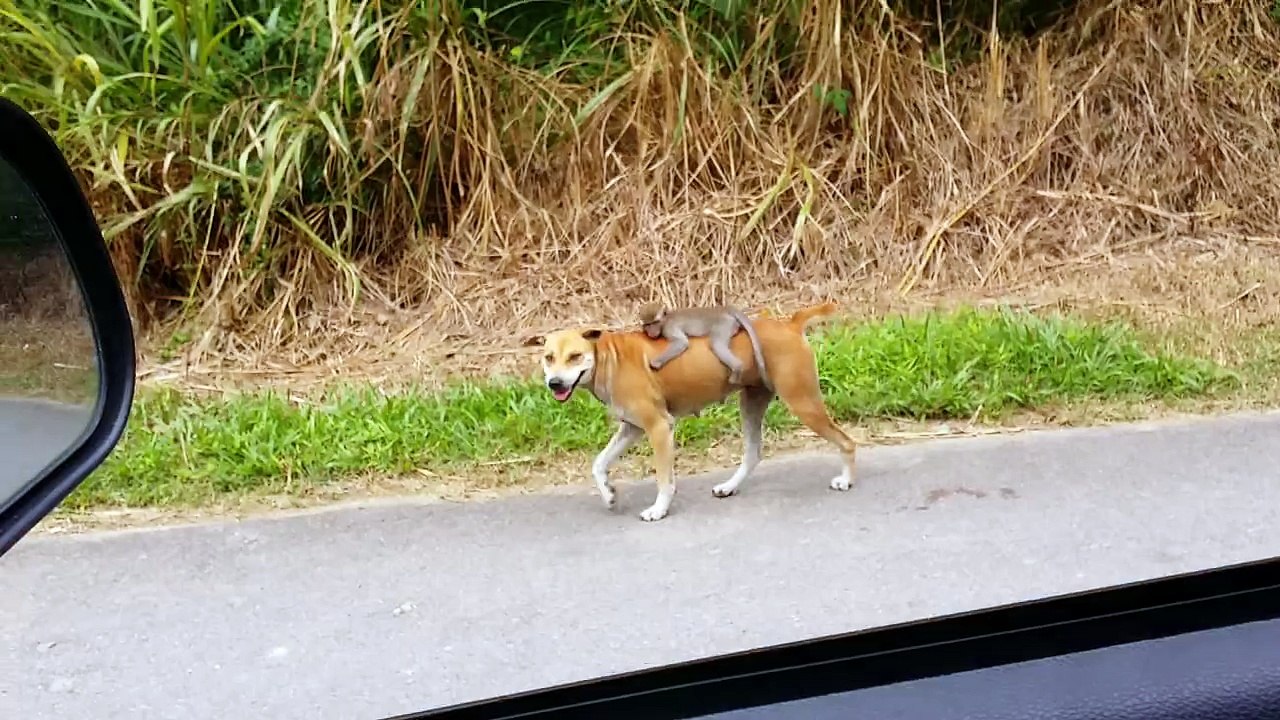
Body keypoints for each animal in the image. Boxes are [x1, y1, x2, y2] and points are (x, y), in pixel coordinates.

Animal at [638, 301, 772, 389]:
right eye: (648, 324)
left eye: (655, 322)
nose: (651, 332)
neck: (665, 320)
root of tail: (722, 308)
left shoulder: (669, 328)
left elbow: (681, 342)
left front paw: (655, 363)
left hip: (723, 323)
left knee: (716, 344)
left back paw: (737, 368)